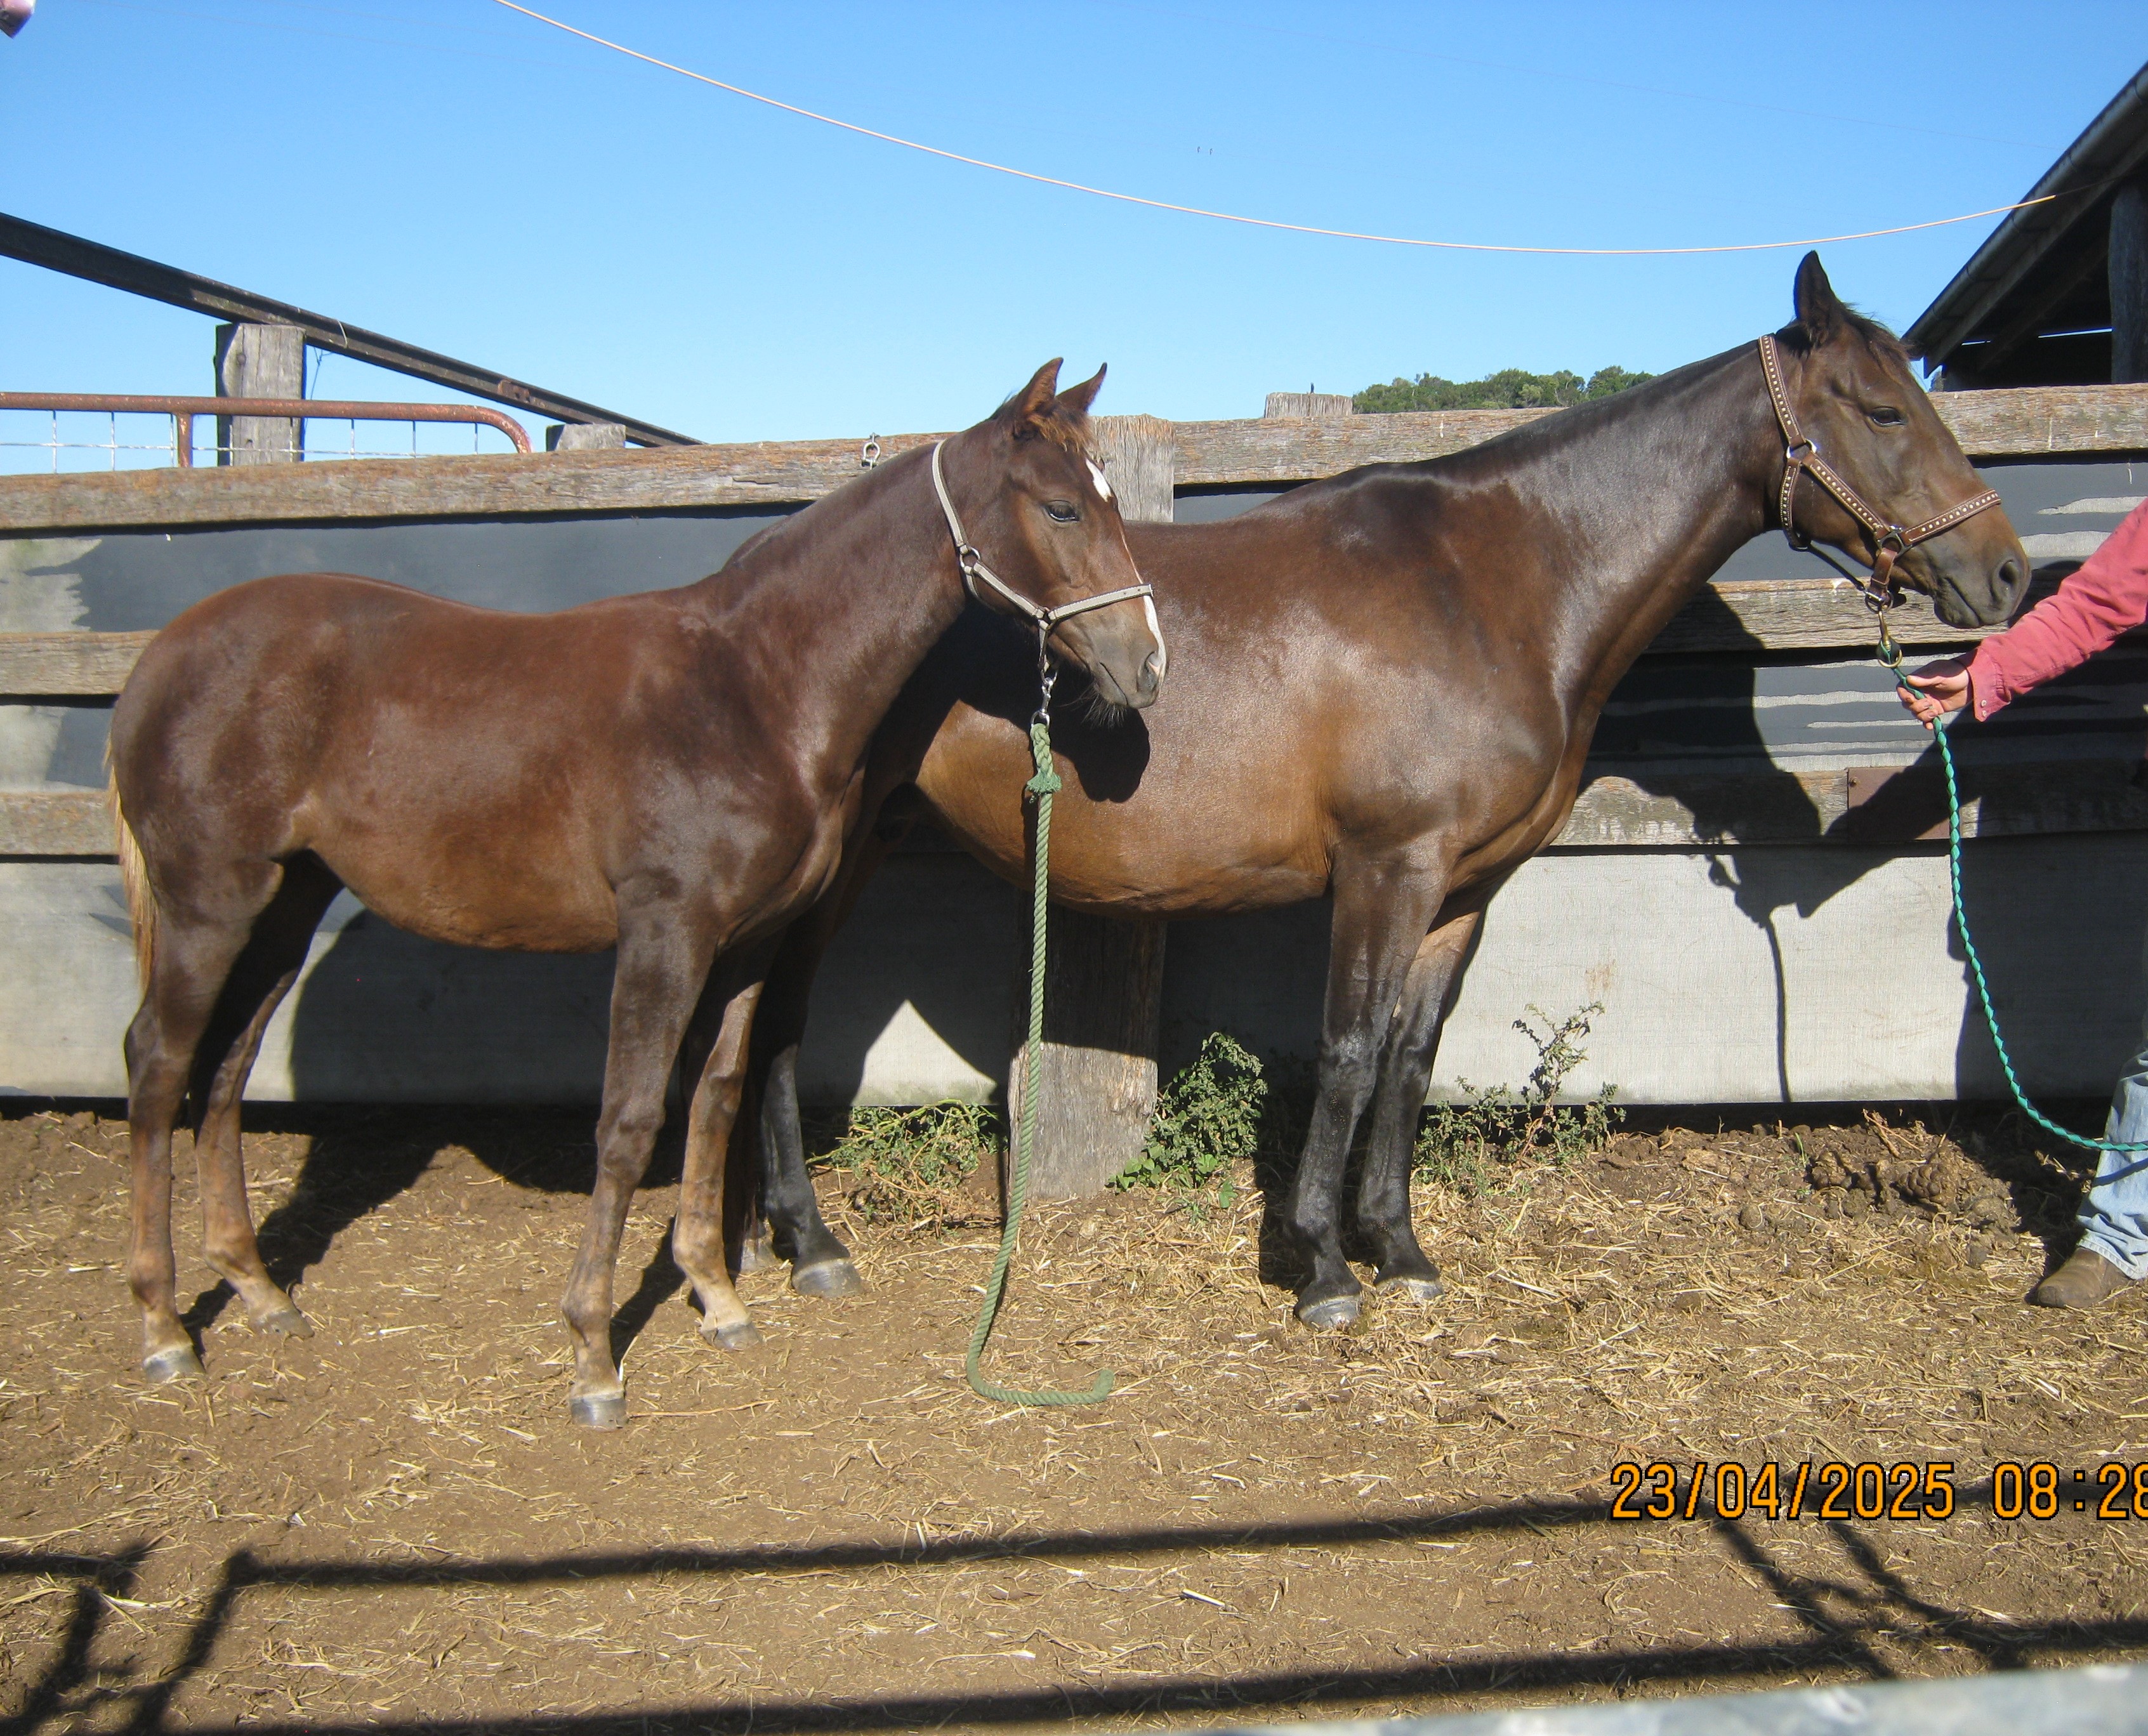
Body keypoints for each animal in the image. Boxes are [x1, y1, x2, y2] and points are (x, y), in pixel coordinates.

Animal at [107, 360, 1164, 1428]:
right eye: (1064, 507)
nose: (1148, 663)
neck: (754, 691)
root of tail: (161, 656)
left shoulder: (746, 942)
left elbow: (717, 1099)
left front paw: (719, 1296)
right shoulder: (666, 932)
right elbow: (629, 1120)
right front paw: (592, 1356)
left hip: (283, 905)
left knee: (226, 1070)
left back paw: (259, 1291)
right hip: (210, 901)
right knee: (159, 1063)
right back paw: (160, 1329)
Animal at [738, 254, 2030, 1328]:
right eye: (1882, 409)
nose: (2007, 573)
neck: (1495, 583)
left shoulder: (1463, 887)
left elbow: (1410, 1059)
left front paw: (1399, 1252)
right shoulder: (1384, 865)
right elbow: (1351, 1049)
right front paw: (1319, 1267)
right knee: (774, 1018)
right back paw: (807, 1239)